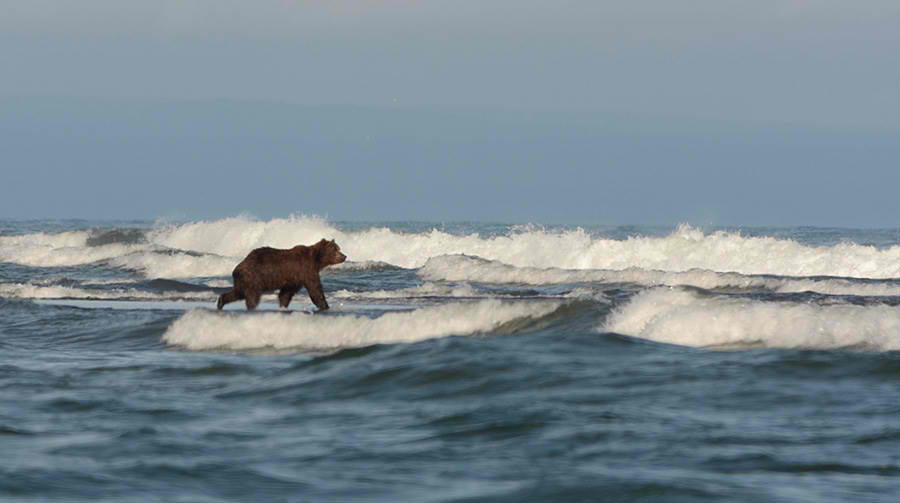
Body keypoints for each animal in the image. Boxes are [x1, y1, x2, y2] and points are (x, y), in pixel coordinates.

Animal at [216, 238, 347, 311]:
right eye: (335, 249)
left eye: (339, 248)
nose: (344, 256)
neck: (317, 260)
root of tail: (237, 267)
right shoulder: (306, 270)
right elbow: (315, 290)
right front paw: (325, 306)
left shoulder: (295, 278)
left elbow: (286, 293)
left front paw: (283, 306)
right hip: (254, 278)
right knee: (252, 296)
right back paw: (252, 308)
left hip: (245, 281)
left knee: (238, 293)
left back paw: (221, 302)